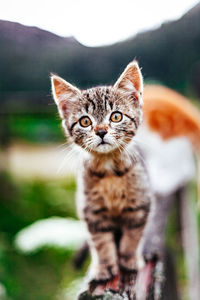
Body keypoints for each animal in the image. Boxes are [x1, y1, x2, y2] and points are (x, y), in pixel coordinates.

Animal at [51, 61, 152, 288]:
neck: (109, 172)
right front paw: (104, 266)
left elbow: (133, 235)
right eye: (85, 121)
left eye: (116, 116)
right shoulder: (91, 211)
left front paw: (129, 259)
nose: (101, 131)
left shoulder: (140, 204)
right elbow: (100, 242)